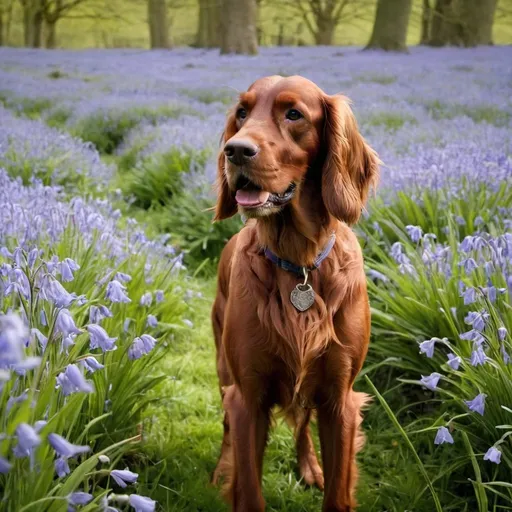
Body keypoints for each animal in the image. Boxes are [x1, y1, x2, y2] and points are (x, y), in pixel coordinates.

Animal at [210, 76, 378, 512]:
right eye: (242, 113)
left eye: (294, 114)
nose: (236, 150)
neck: (297, 263)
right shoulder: (248, 398)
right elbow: (249, 488)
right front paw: (232, 477)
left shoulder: (339, 399)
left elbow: (337, 494)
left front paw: (320, 474)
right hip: (223, 367)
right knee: (227, 427)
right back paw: (220, 470)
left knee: (303, 424)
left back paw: (310, 467)